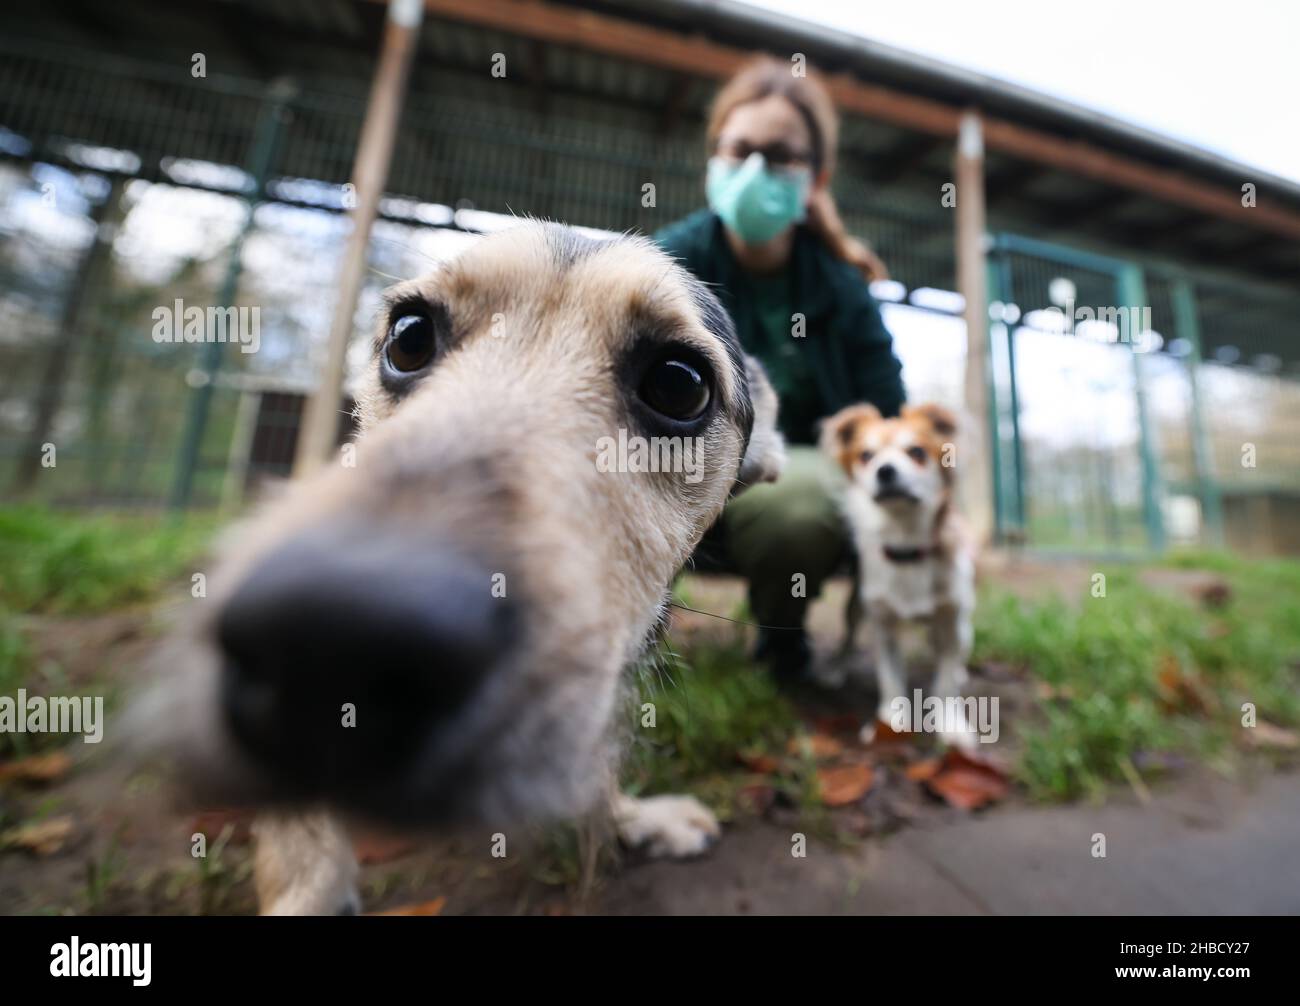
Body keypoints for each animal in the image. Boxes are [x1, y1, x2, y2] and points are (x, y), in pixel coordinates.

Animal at [821, 402, 977, 748]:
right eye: (866, 455)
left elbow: (946, 682)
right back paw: (835, 668)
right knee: (849, 637)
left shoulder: (950, 620)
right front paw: (892, 722)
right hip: (856, 606)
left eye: (916, 452)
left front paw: (951, 726)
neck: (906, 546)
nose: (885, 471)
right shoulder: (883, 623)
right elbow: (891, 678)